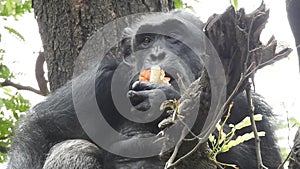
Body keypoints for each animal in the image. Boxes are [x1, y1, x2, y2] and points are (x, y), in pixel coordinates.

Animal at [7, 11, 284, 168]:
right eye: (147, 40)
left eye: (173, 37)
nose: (156, 52)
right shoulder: (102, 79)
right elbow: (42, 128)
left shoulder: (246, 102)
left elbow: (262, 157)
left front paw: (165, 98)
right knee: (73, 147)